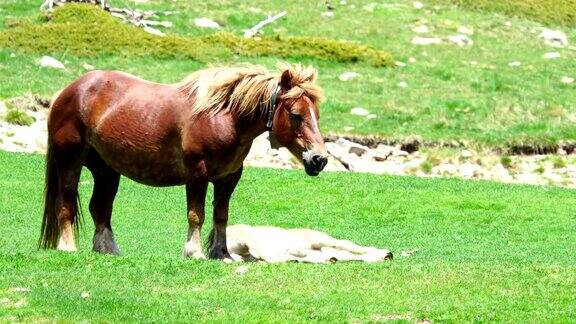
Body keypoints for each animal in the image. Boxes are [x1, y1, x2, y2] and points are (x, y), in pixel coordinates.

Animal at [38, 63, 328, 260]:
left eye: (316, 114)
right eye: (295, 114)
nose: (319, 159)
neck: (222, 117)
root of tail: (67, 92)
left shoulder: (229, 178)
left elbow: (221, 215)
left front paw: (221, 253)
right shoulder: (197, 174)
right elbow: (196, 214)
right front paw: (194, 251)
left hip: (107, 170)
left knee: (100, 209)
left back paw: (108, 251)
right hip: (70, 161)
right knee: (66, 206)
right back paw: (68, 247)